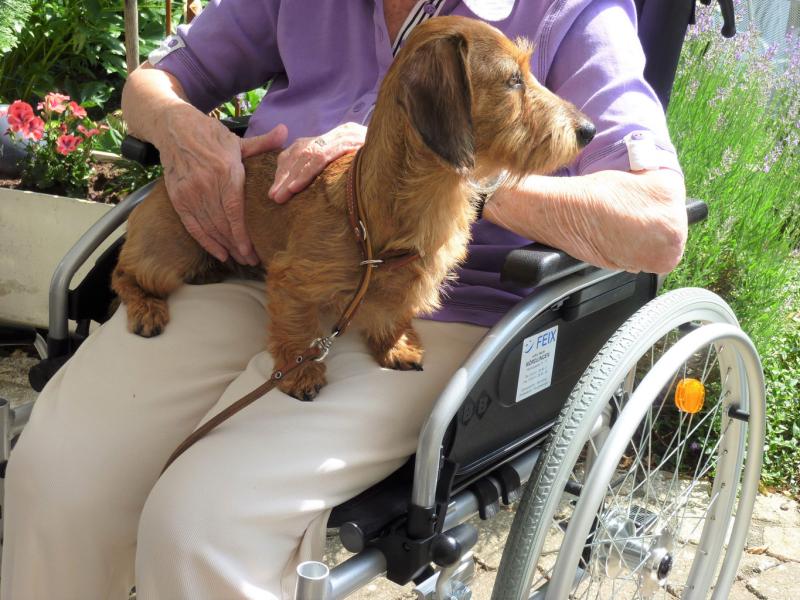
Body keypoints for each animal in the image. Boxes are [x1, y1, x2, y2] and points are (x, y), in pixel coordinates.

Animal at [111, 15, 592, 398]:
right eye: (514, 80)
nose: (587, 130)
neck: (370, 218)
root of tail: (163, 179)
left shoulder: (404, 283)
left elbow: (391, 315)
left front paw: (395, 347)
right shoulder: (291, 281)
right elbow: (297, 327)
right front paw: (300, 372)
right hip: (165, 255)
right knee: (124, 274)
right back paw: (148, 308)